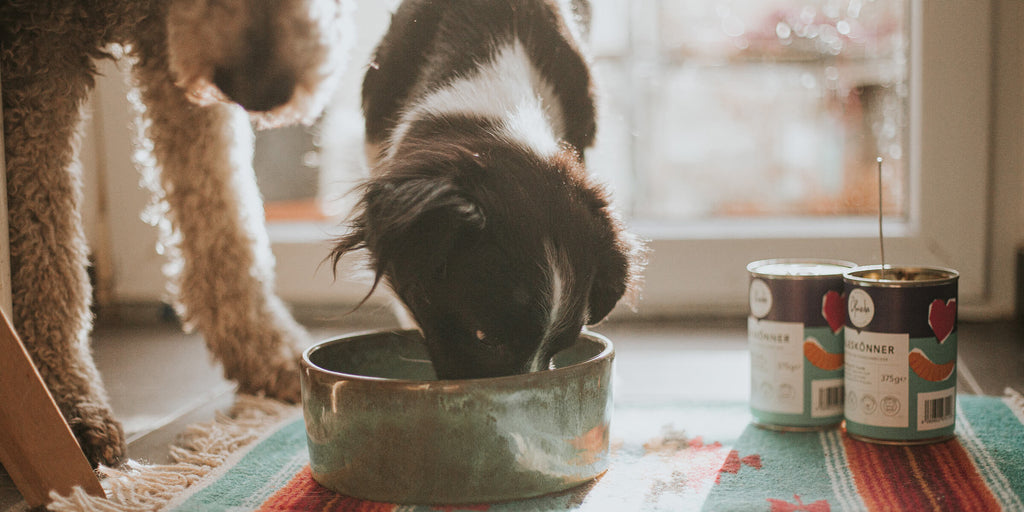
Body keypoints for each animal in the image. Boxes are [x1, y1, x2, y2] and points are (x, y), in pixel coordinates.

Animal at [1, 0, 352, 466]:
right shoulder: (37, 53)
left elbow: (224, 217)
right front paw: (63, 402)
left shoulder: (174, 55)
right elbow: (47, 250)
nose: (260, 90)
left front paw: (267, 353)